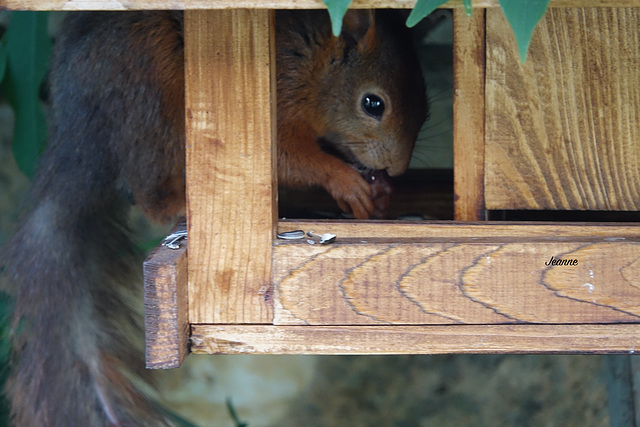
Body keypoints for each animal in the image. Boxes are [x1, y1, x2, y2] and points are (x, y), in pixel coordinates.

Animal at [2, 8, 428, 426]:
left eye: (425, 108)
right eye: (373, 104)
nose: (396, 169)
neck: (313, 63)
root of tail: (74, 135)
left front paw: (379, 191)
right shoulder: (274, 101)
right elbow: (287, 157)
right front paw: (344, 179)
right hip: (149, 91)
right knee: (149, 194)